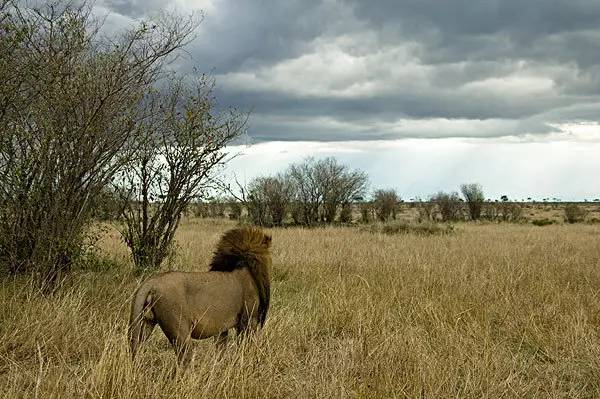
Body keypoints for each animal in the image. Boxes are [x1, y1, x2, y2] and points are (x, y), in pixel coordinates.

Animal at [130, 228, 274, 366]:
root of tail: (152, 282)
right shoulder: (248, 320)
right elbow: (246, 346)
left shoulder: (222, 329)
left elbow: (220, 350)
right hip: (180, 330)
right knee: (184, 358)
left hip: (146, 323)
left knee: (137, 346)